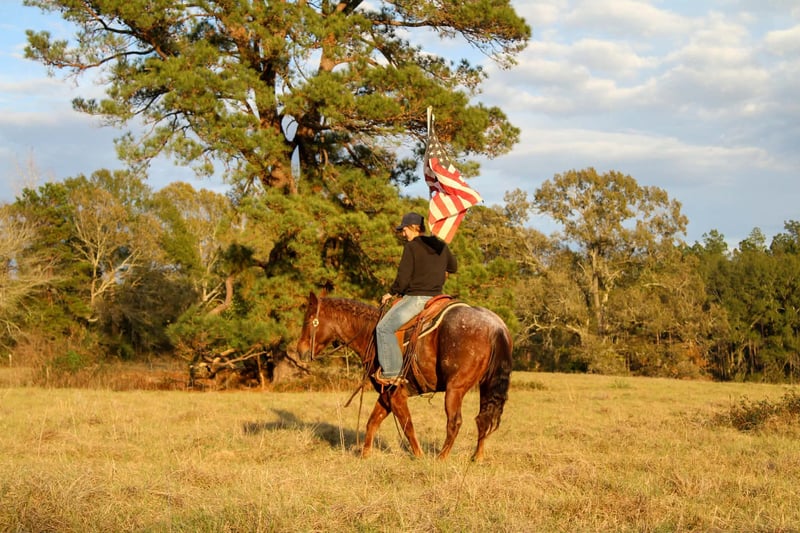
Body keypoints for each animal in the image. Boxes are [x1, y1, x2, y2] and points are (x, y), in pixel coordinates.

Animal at [295, 291, 513, 461]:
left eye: (308, 321)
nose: (300, 351)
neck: (371, 335)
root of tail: (495, 326)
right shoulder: (385, 395)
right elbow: (372, 422)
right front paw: (365, 456)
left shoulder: (396, 394)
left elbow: (407, 426)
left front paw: (419, 457)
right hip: (486, 386)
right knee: (484, 418)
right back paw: (477, 457)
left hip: (455, 389)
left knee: (455, 422)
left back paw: (441, 458)